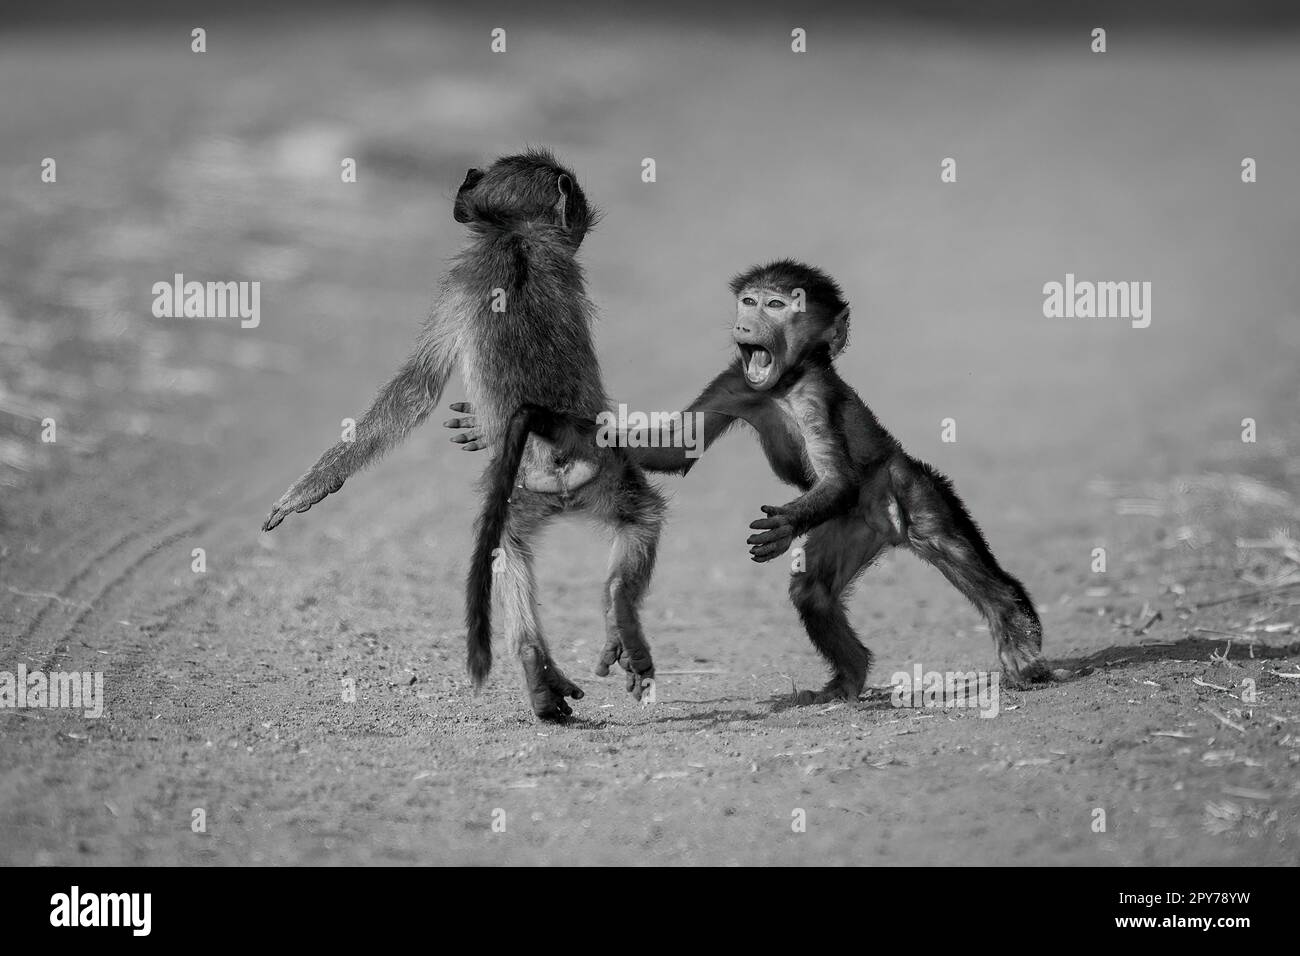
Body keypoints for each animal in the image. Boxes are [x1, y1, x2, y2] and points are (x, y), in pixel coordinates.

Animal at [262, 149, 665, 722]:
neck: (517, 236)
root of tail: (557, 452)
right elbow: (419, 388)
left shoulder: (460, 279)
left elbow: (418, 386)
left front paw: (310, 487)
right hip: (570, 481)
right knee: (552, 538)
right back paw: (586, 637)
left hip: (576, 477)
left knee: (561, 534)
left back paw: (578, 643)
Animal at [447, 259, 1053, 703]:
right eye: (749, 301)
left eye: (777, 305)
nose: (748, 320)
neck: (780, 384)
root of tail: (884, 520)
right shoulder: (736, 381)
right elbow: (673, 448)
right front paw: (515, 427)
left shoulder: (813, 396)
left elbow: (835, 475)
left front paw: (781, 527)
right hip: (850, 525)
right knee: (813, 591)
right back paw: (846, 681)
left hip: (903, 485)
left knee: (948, 544)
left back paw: (1016, 633)